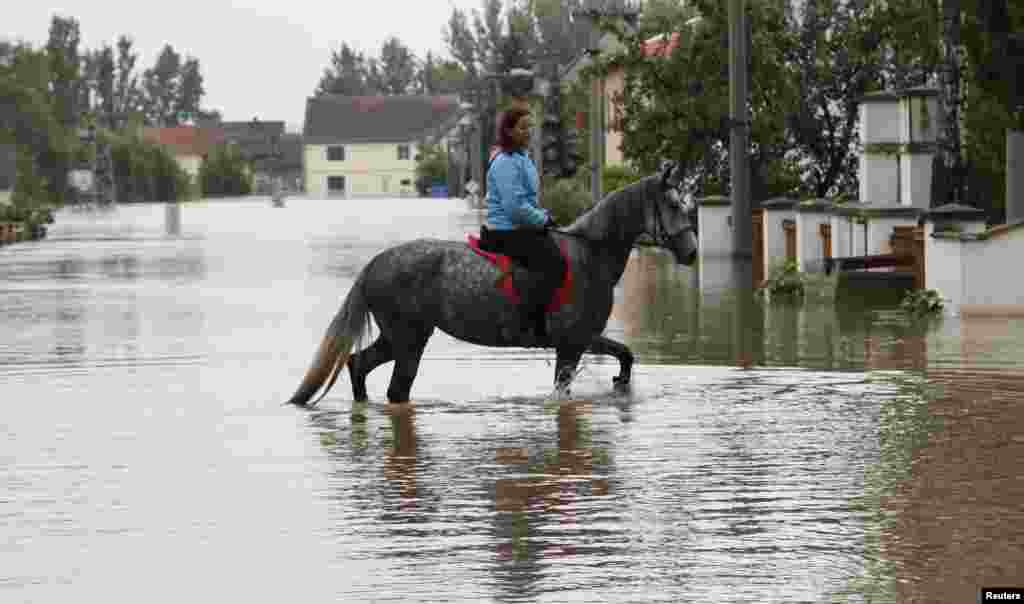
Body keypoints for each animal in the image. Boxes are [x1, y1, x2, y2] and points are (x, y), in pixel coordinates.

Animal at [284, 160, 696, 407]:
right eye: (673, 205)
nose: (691, 252)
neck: (589, 254)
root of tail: (376, 263)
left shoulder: (584, 338)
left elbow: (626, 354)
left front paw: (620, 383)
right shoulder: (571, 343)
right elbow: (565, 389)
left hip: (399, 337)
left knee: (358, 364)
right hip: (408, 339)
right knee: (393, 387)